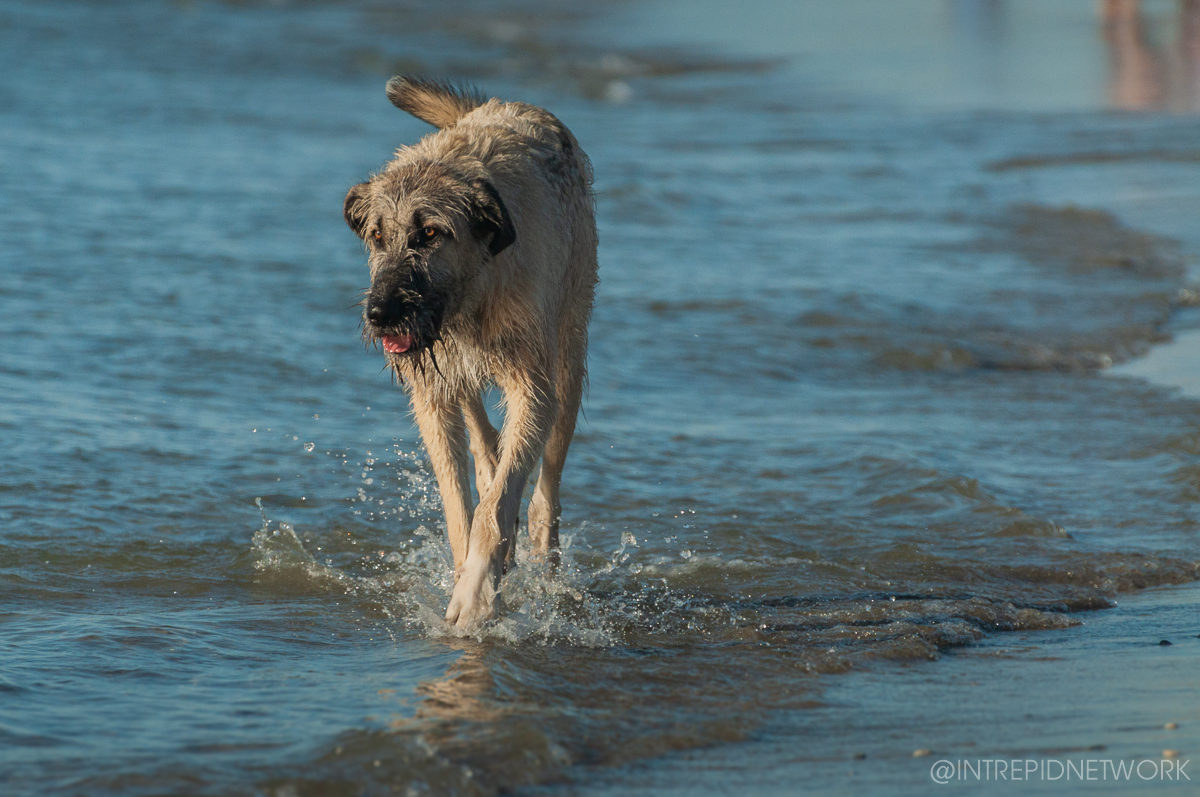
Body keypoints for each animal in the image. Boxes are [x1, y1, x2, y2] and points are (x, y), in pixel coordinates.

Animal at [343, 78, 595, 633]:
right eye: (377, 236)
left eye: (430, 233)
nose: (379, 313)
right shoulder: (432, 393)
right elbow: (460, 505)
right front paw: (467, 576)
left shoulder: (533, 388)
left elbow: (494, 508)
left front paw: (477, 594)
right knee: (487, 443)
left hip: (569, 354)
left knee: (545, 492)